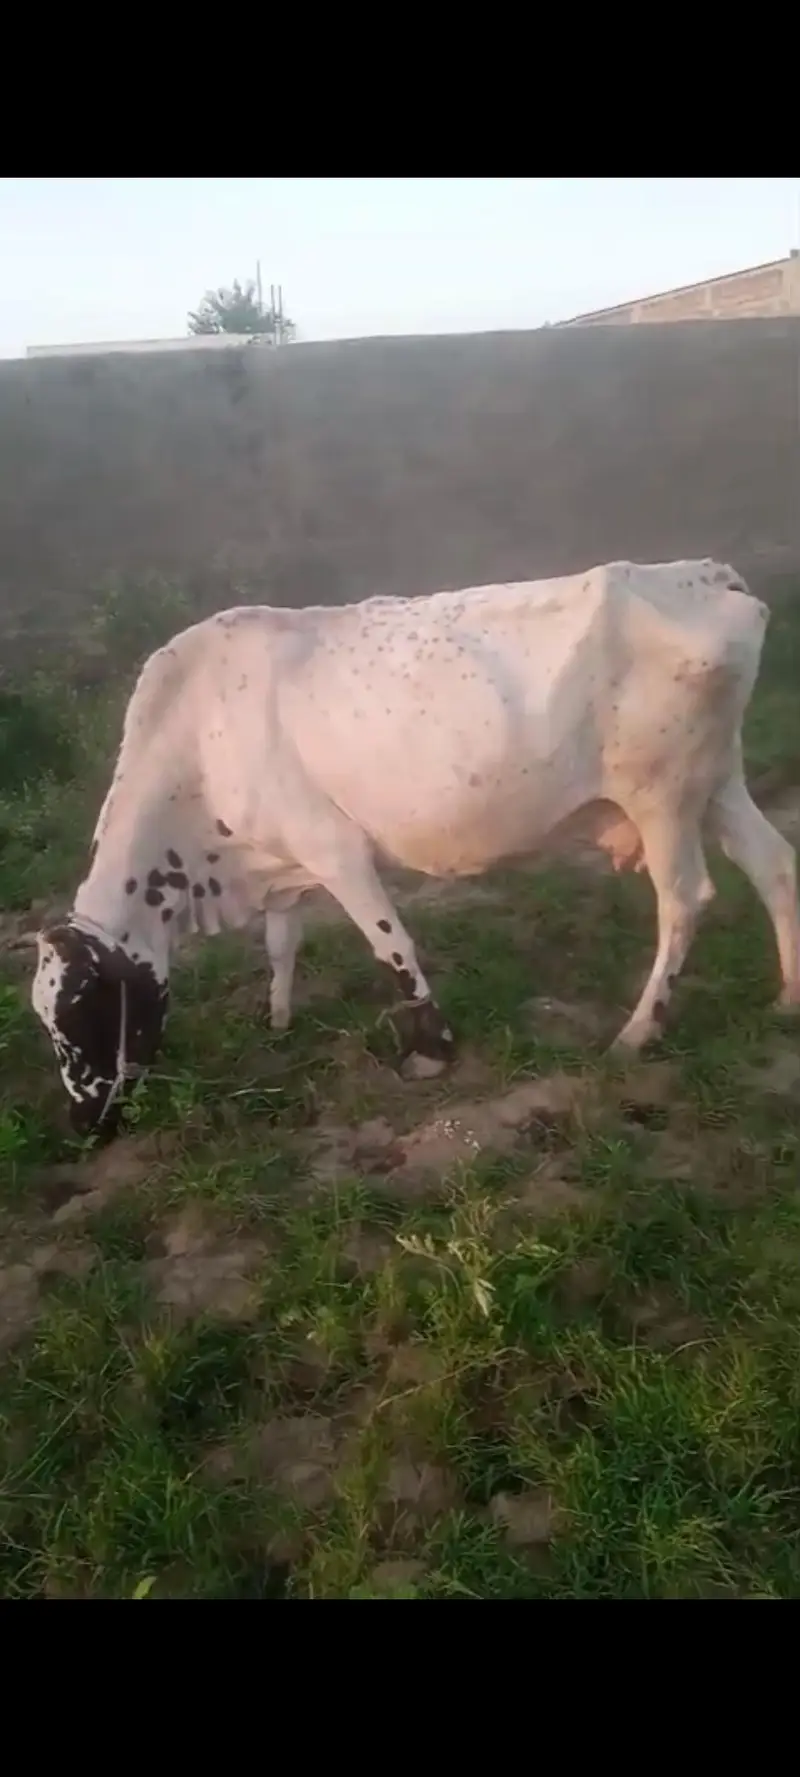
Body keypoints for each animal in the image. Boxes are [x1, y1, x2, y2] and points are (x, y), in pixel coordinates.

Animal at [19, 558, 800, 1140]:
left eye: (81, 1013)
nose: (83, 1124)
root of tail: (705, 574)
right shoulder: (283, 859)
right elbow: (280, 943)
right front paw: (278, 1017)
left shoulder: (335, 849)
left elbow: (391, 945)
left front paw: (431, 1047)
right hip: (717, 780)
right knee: (774, 865)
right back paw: (788, 997)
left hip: (661, 795)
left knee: (685, 900)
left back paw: (640, 1031)